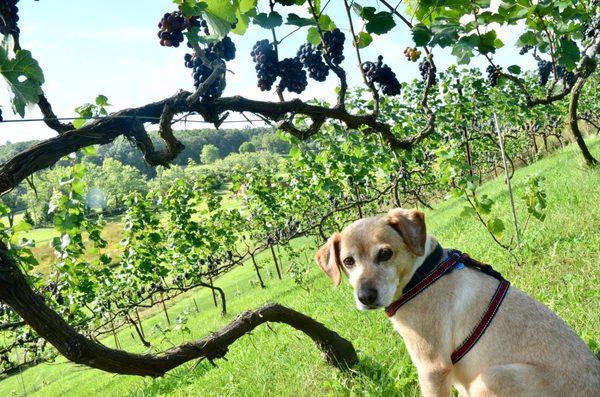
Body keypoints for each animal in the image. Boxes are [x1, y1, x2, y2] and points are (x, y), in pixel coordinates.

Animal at [316, 209, 600, 394]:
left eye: (385, 254)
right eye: (348, 262)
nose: (365, 297)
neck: (423, 273)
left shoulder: (432, 368)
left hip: (491, 377)